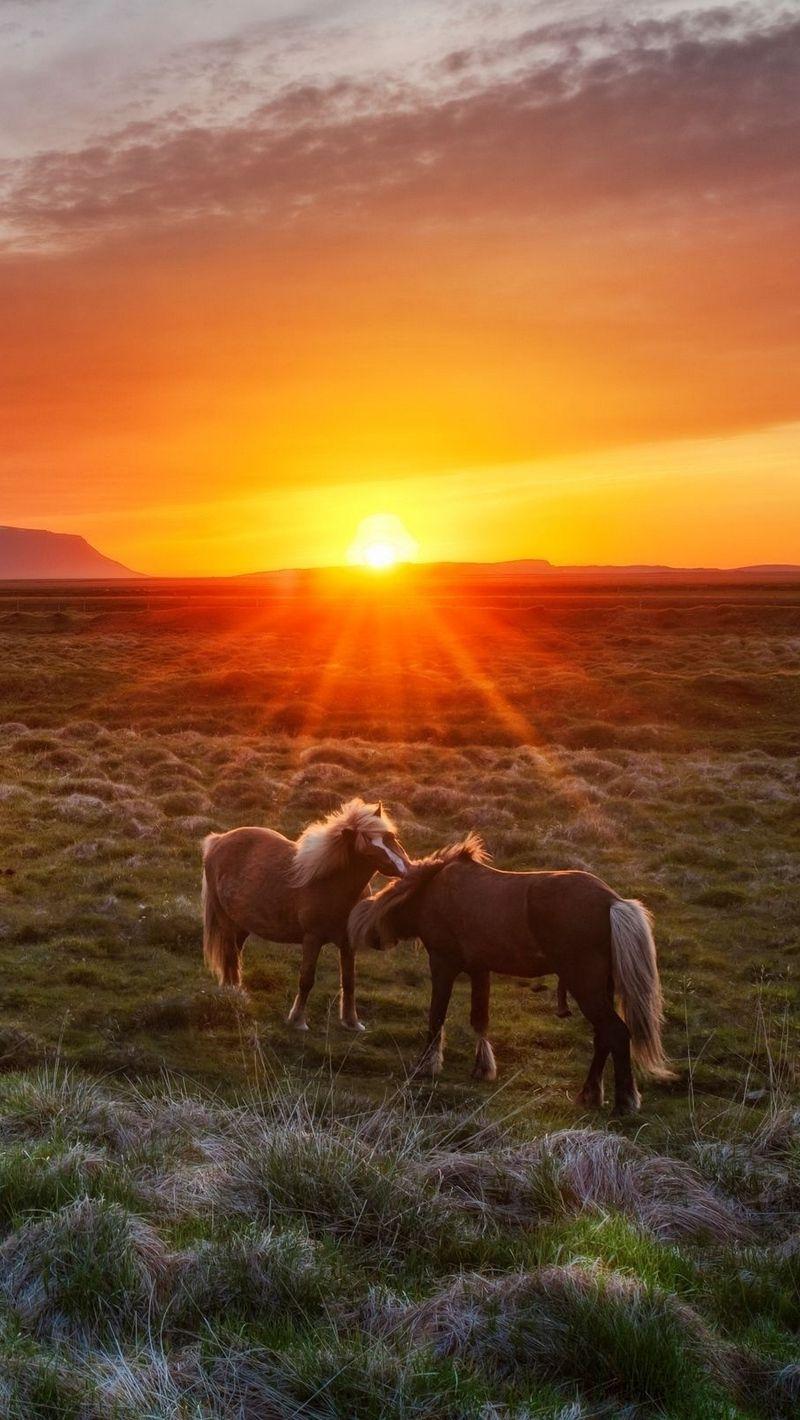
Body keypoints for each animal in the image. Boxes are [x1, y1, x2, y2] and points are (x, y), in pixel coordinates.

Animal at [201, 798, 411, 1031]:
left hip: (241, 925)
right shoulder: (312, 939)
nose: (407, 869)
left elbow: (349, 981)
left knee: (234, 956)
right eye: (367, 851)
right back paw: (234, 996)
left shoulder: (348, 943)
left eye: (390, 837)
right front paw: (298, 1020)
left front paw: (352, 1022)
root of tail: (218, 841)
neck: (332, 884)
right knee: (230, 956)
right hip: (226, 921)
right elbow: (307, 979)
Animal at [348, 836, 675, 1113]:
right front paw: (483, 1067)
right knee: (603, 1036)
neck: (432, 892)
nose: (374, 939)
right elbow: (480, 1020)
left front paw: (426, 1066)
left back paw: (624, 1102)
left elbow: (436, 1016)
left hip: (585, 985)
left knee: (616, 1033)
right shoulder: (480, 969)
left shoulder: (443, 964)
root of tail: (612, 902)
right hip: (599, 987)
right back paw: (590, 1094)